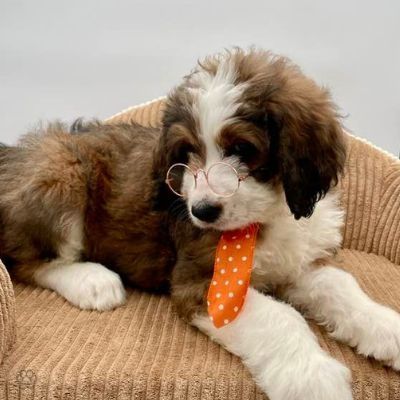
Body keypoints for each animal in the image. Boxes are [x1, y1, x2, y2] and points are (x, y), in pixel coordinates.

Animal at [0, 50, 400, 400]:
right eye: (187, 152)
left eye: (242, 149)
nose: (202, 211)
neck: (266, 215)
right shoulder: (202, 285)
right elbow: (280, 316)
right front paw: (312, 377)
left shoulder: (298, 266)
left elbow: (340, 285)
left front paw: (385, 326)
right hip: (61, 171)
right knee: (28, 261)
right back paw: (92, 281)